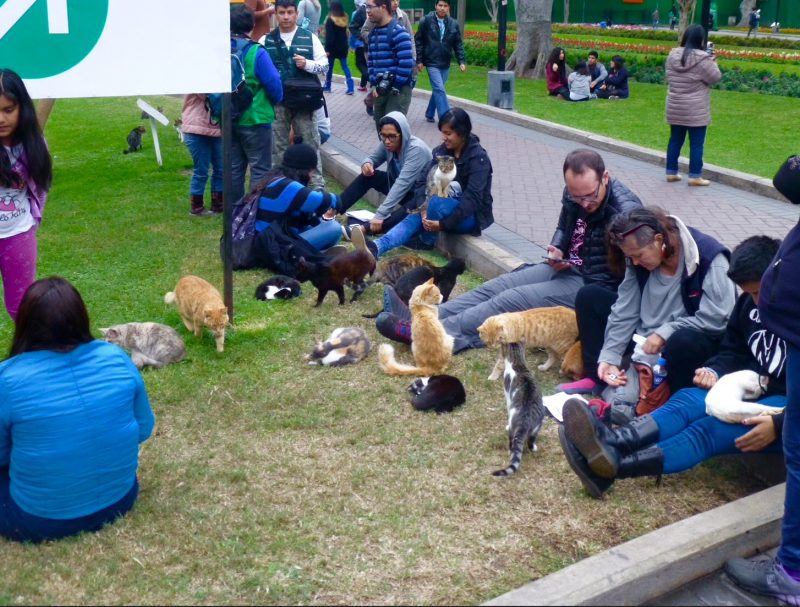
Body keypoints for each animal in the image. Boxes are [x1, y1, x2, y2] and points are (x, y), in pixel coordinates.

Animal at [490, 344, 548, 478]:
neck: (518, 363)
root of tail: (524, 420)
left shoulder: (508, 397)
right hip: (537, 425)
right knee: (531, 440)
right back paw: (533, 448)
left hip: (513, 427)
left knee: (512, 441)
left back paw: (510, 450)